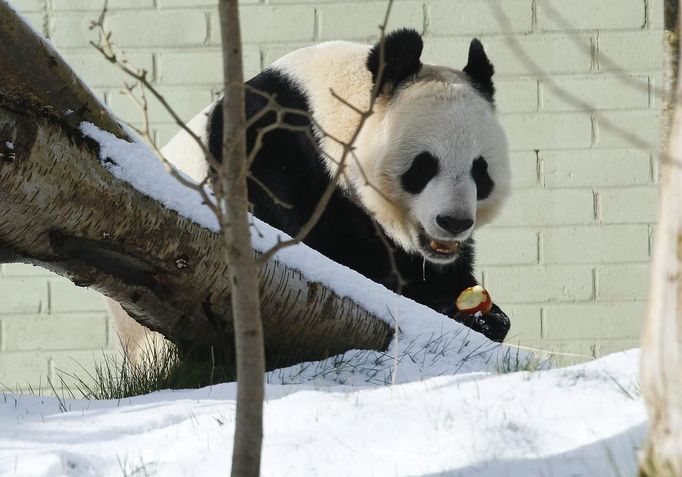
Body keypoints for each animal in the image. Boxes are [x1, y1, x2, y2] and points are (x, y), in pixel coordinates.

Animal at [110, 27, 510, 358]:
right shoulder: (275, 155)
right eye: (424, 166)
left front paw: (482, 315)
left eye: (480, 170)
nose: (454, 222)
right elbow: (329, 253)